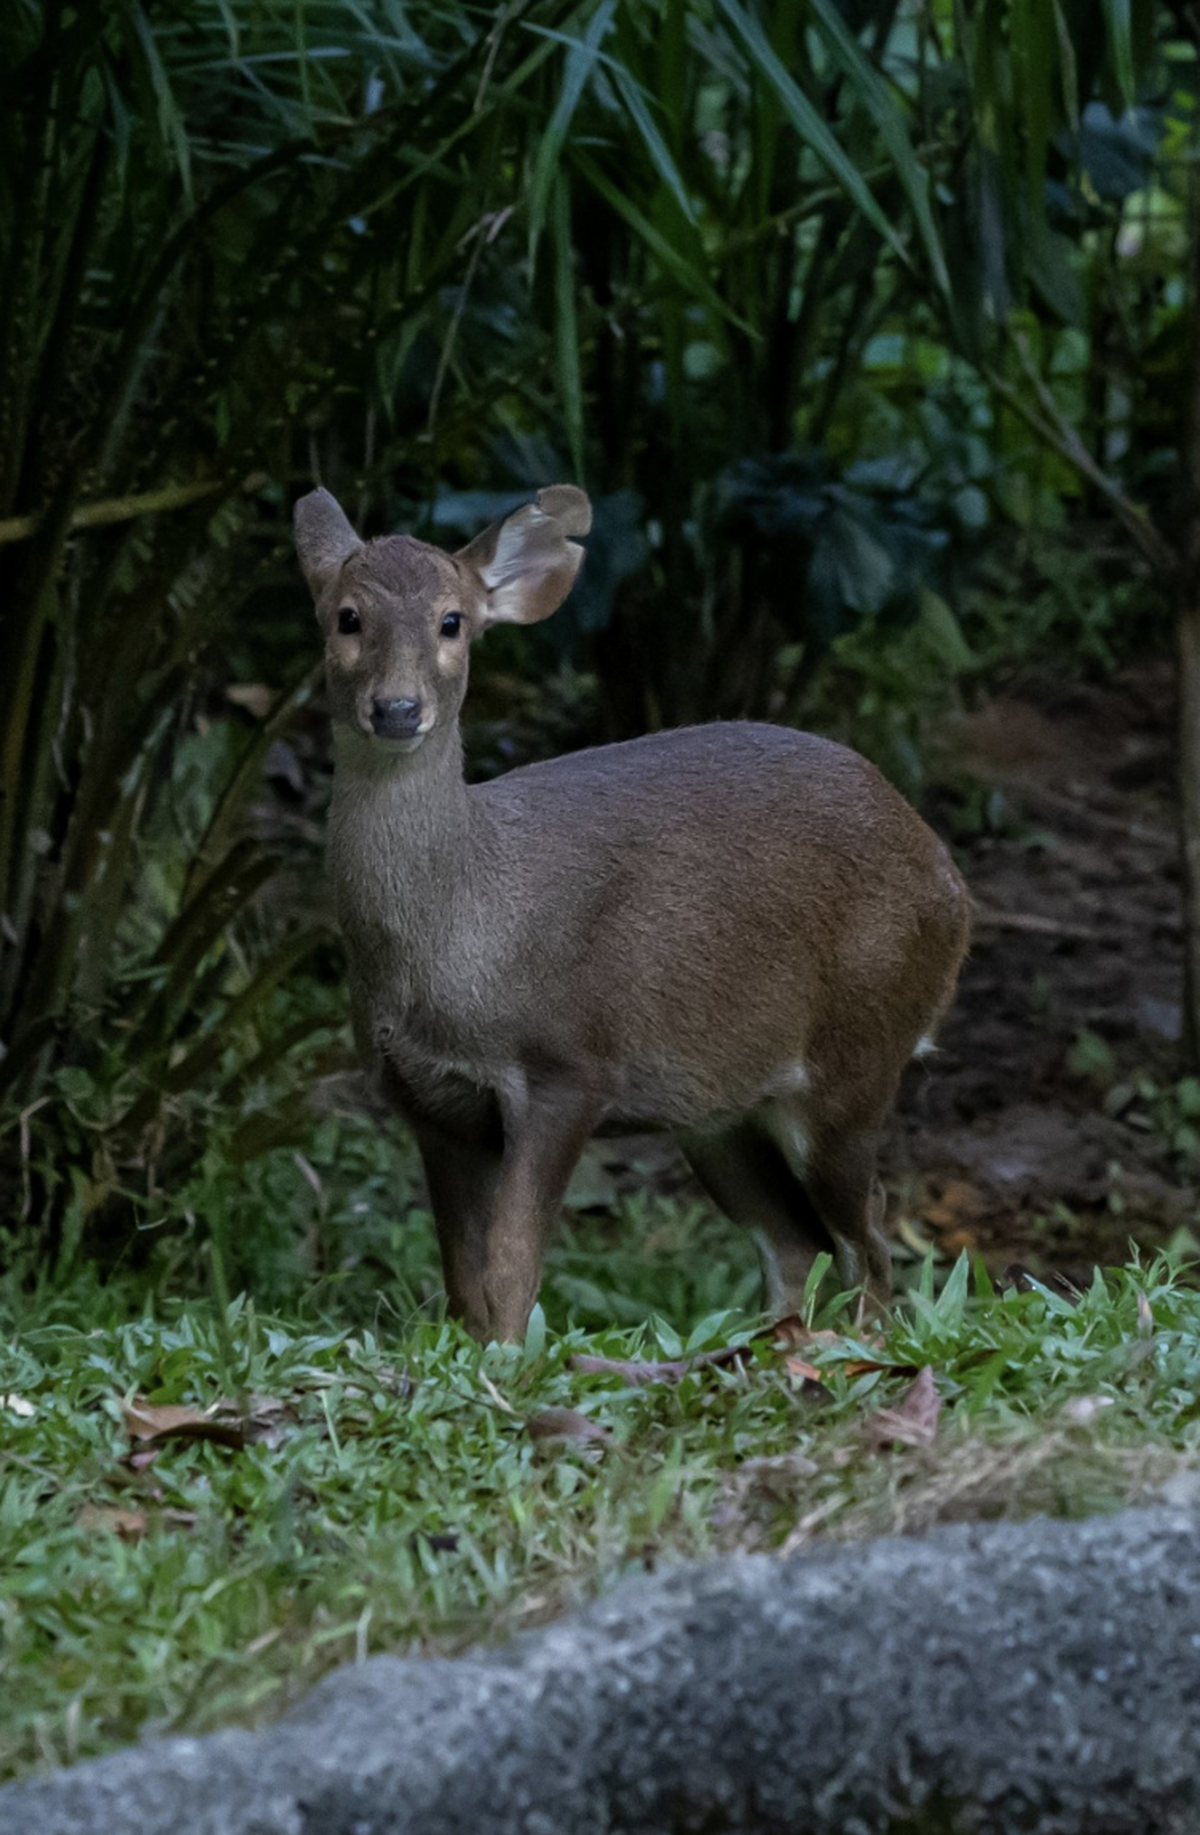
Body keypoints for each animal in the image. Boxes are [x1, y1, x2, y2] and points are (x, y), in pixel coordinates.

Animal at [294, 483, 970, 1342]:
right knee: (795, 1241)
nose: (397, 708)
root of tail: (952, 885)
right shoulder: (429, 1104)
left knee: (870, 1236)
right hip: (718, 1108)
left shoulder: (571, 1063)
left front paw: (508, 1360)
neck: (465, 935)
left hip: (857, 1054)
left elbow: (512, 1262)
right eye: (347, 616)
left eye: (452, 621)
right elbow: (463, 1279)